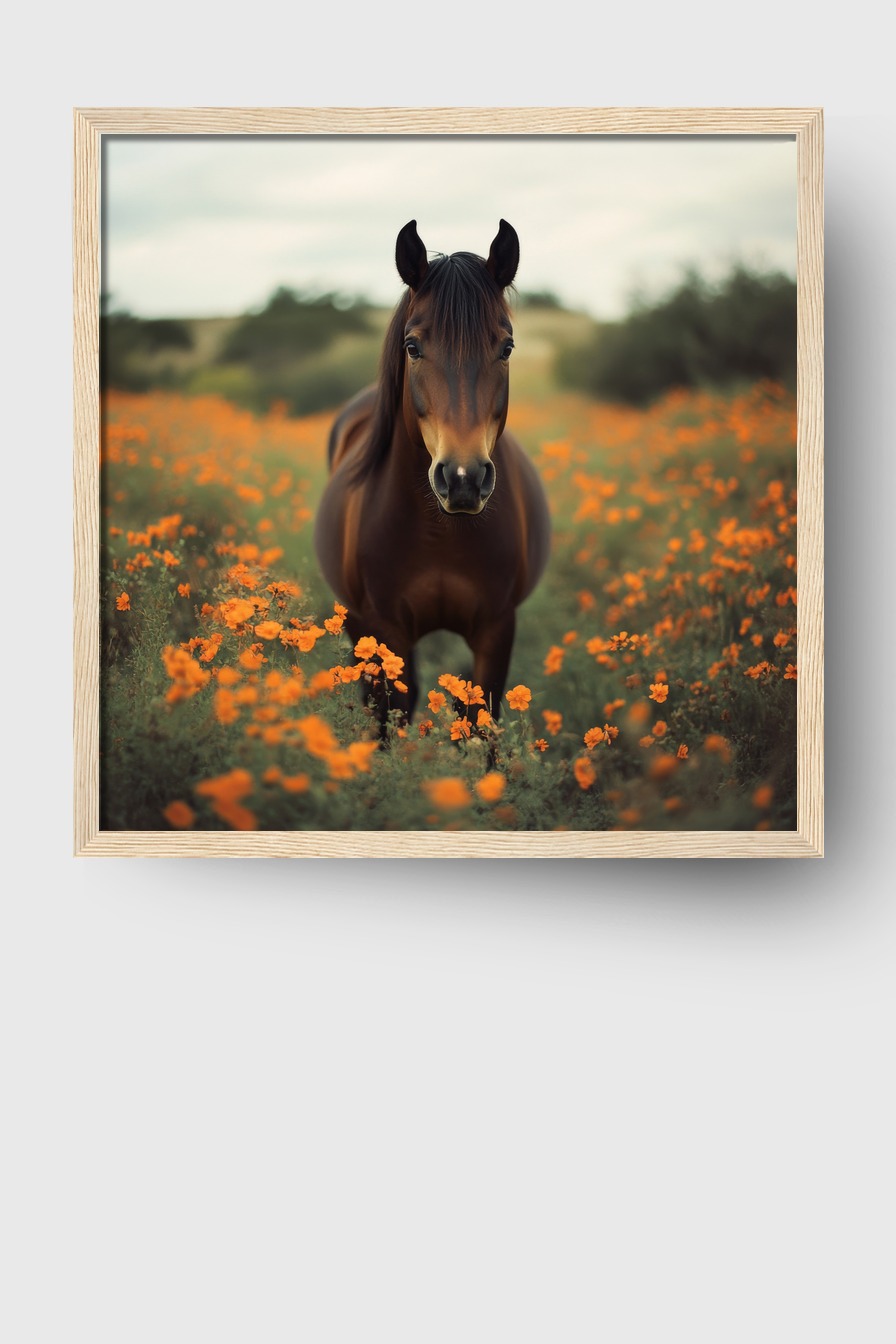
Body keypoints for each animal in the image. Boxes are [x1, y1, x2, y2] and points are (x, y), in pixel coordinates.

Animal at [313, 219, 551, 729]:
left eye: (507, 347)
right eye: (412, 346)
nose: (463, 479)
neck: (441, 533)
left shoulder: (496, 630)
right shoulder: (384, 632)